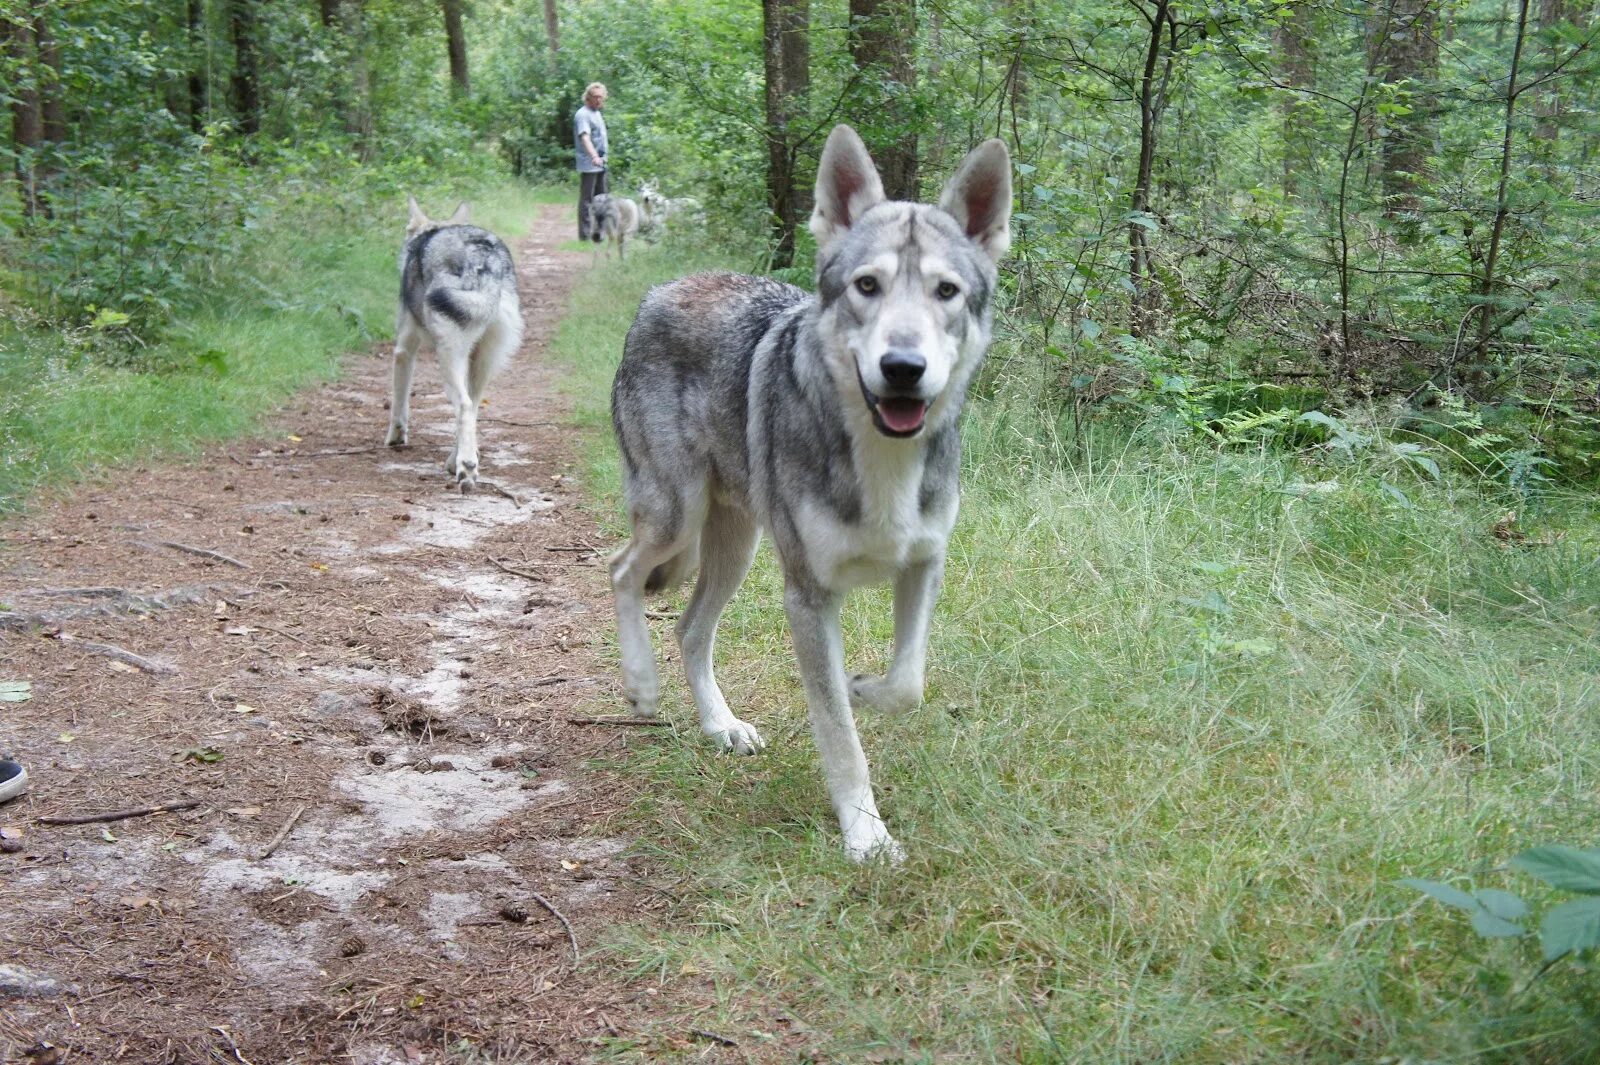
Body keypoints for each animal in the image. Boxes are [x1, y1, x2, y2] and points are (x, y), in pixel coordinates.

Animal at [385, 195, 518, 489]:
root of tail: (485, 260)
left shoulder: (404, 350)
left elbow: (399, 403)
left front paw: (396, 437)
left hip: (448, 358)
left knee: (464, 406)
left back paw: (465, 469)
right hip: (482, 363)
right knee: (473, 406)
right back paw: (456, 461)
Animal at [611, 124, 1011, 857]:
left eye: (946, 291)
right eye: (866, 285)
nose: (902, 367)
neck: (884, 458)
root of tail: (660, 288)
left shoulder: (924, 563)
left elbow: (907, 684)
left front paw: (863, 685)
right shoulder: (807, 597)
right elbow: (839, 734)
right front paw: (866, 837)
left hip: (737, 548)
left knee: (688, 627)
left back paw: (722, 726)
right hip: (675, 515)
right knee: (622, 571)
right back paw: (642, 686)